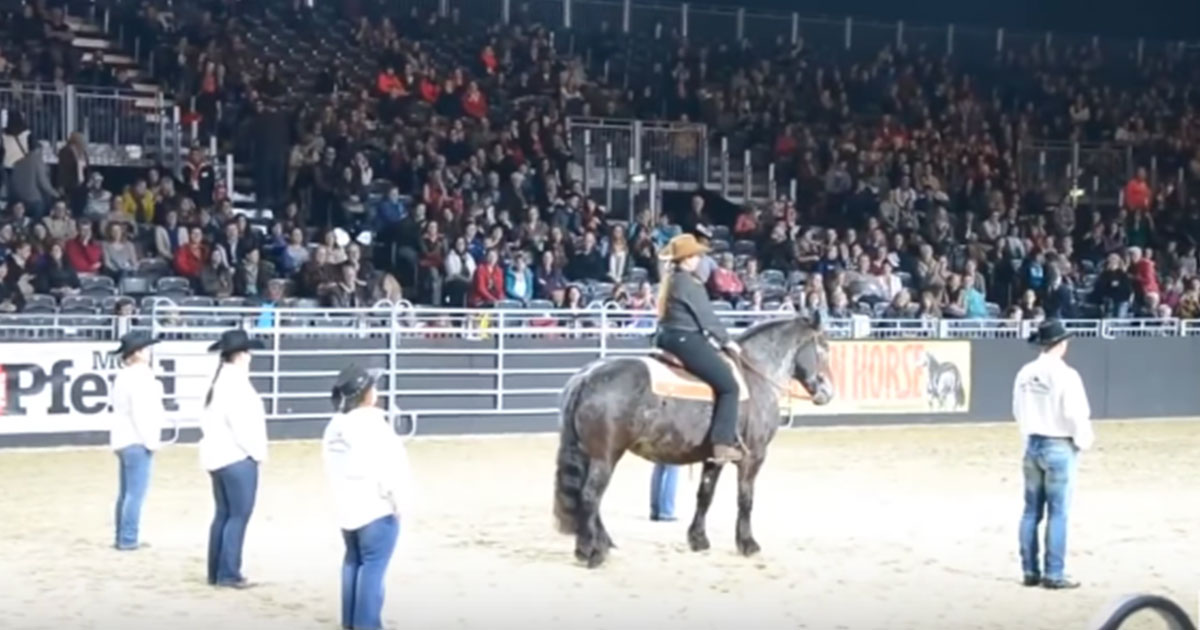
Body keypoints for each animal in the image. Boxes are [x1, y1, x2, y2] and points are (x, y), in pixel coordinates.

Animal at [552, 312, 835, 566]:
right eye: (824, 347)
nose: (828, 392)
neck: (756, 378)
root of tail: (586, 377)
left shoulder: (715, 457)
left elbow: (705, 495)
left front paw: (698, 539)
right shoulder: (753, 457)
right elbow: (745, 499)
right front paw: (748, 544)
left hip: (589, 454)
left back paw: (600, 544)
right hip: (605, 456)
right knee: (591, 496)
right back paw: (592, 552)